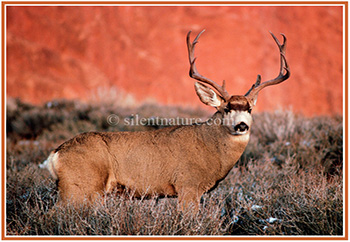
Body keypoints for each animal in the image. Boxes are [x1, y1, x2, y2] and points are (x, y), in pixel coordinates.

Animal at [39, 29, 290, 212]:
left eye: (249, 108)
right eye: (226, 108)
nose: (241, 125)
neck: (210, 150)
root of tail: (55, 154)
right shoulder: (188, 185)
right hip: (79, 186)